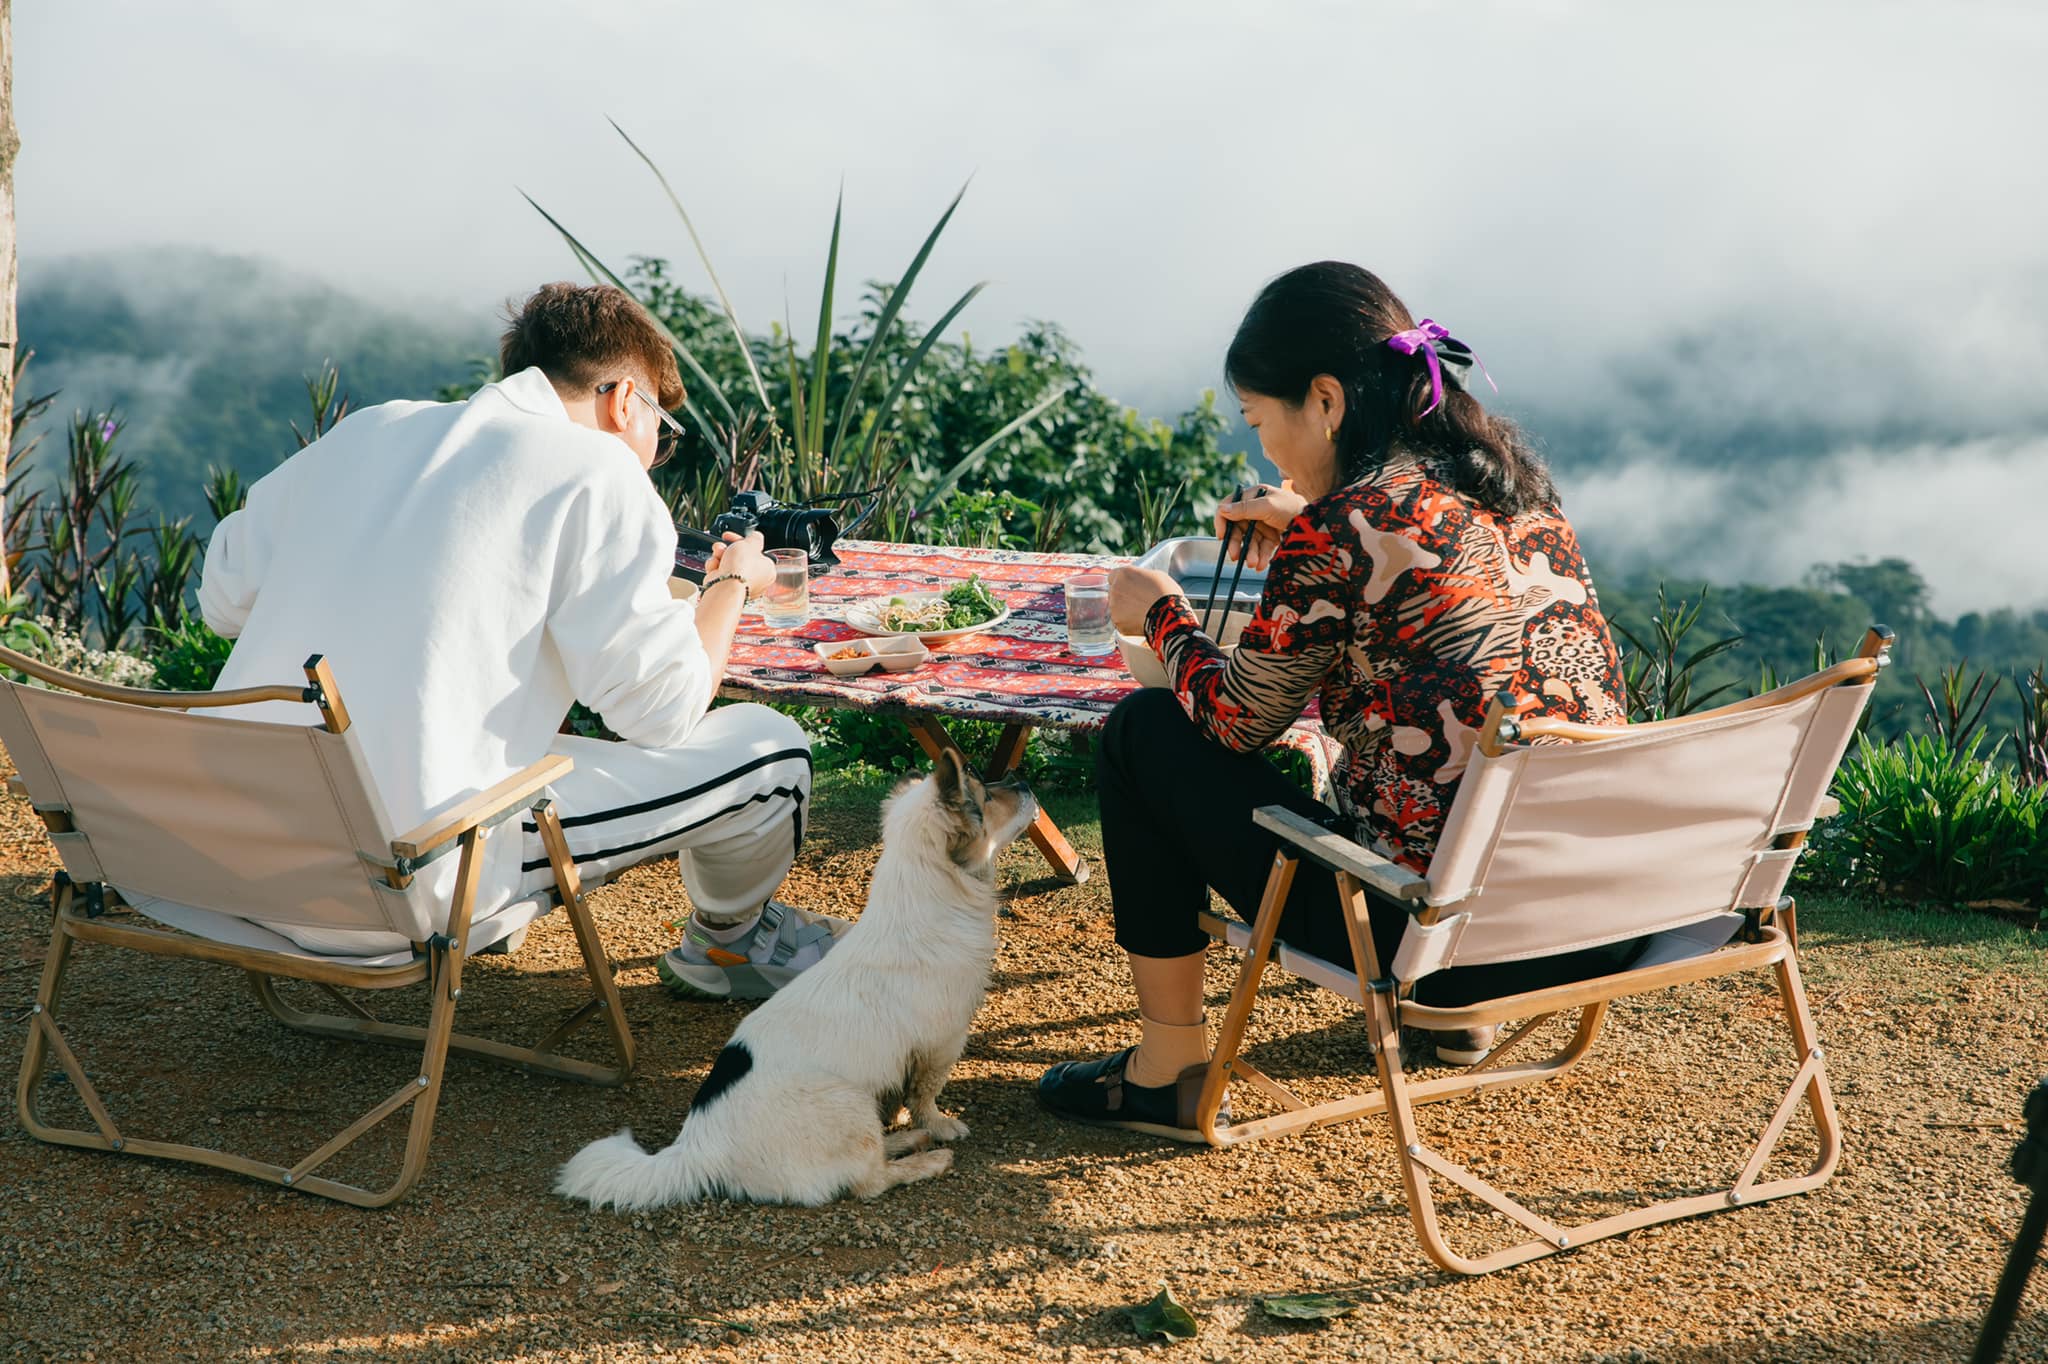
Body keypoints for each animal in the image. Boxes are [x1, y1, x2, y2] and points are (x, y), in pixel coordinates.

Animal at [557, 749, 1040, 1204]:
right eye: (986, 794)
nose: (1021, 778)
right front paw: (939, 1125)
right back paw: (925, 1158)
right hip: (848, 1102)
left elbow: (902, 1093)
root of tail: (698, 1150)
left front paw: (906, 1120)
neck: (923, 901)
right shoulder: (942, 1042)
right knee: (870, 1181)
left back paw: (903, 1140)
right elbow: (924, 1094)